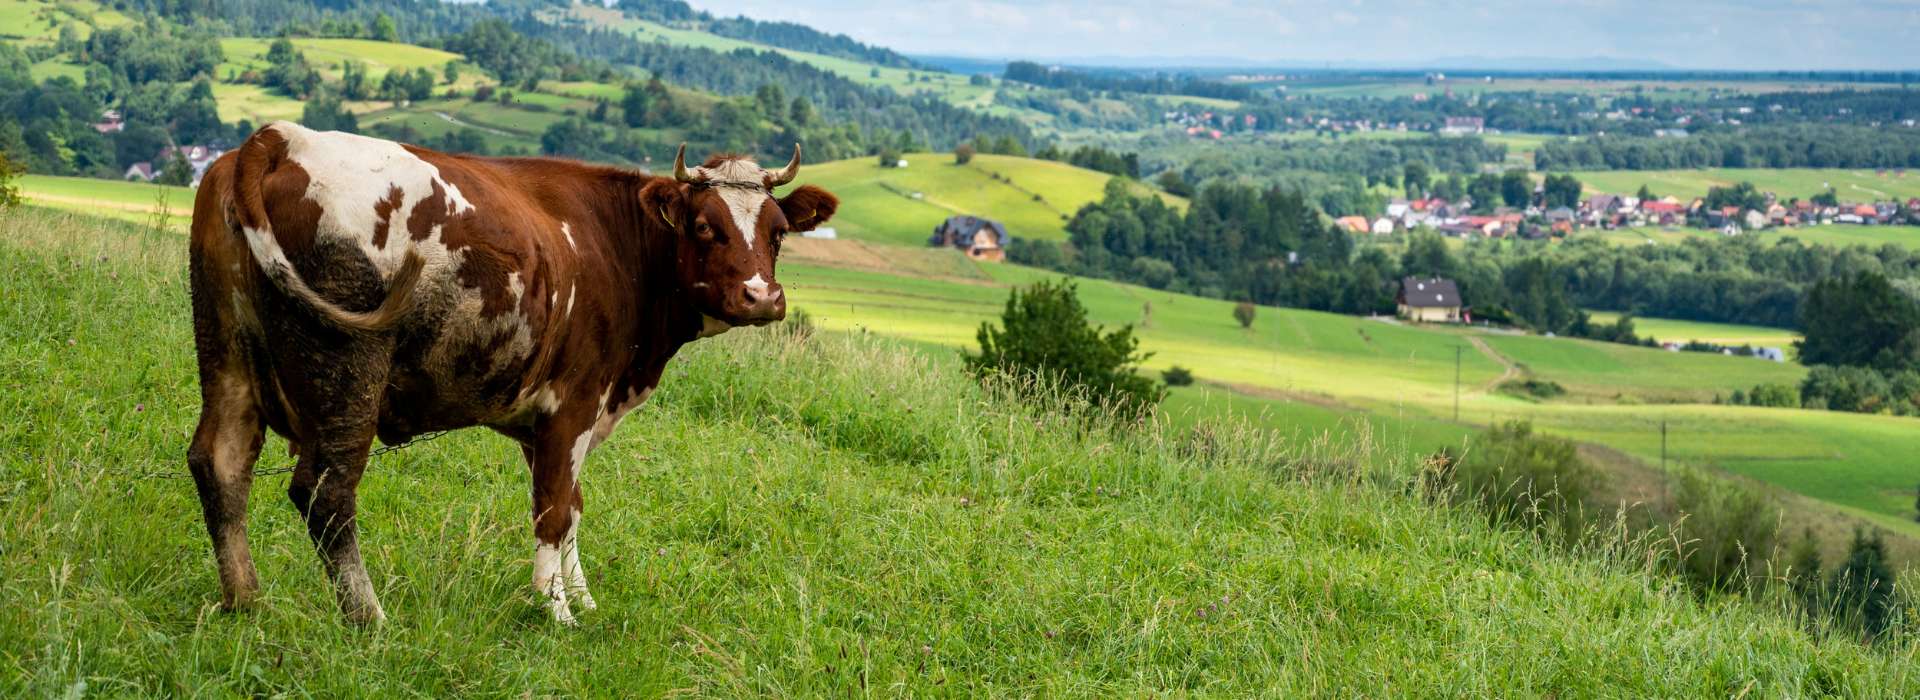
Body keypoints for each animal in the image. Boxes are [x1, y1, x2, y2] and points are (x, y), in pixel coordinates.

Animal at [185, 121, 836, 624]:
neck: (617, 246)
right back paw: (369, 618)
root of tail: (282, 138)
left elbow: (570, 504)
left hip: (226, 353)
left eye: (778, 232)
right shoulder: (575, 403)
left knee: (220, 461)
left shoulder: (550, 419)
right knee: (325, 492)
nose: (761, 297)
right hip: (346, 372)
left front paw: (582, 600)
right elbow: (553, 508)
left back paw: (246, 602)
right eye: (704, 226)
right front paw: (556, 611)